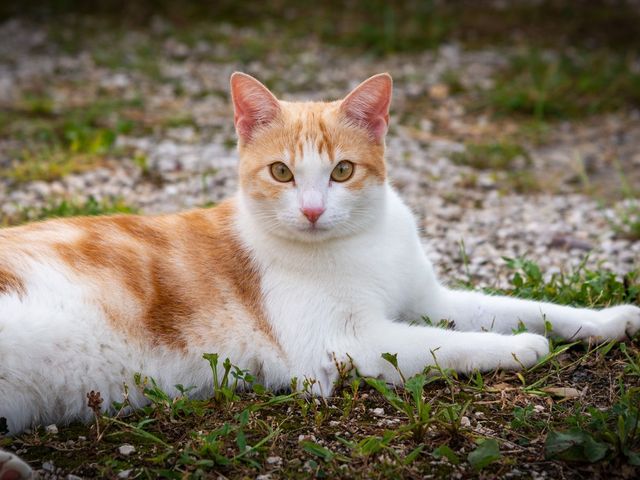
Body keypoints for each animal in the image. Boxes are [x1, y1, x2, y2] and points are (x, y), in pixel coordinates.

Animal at [1, 72, 640, 480]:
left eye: (343, 171)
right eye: (282, 173)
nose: (311, 210)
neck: (358, 245)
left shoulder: (428, 298)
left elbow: (524, 306)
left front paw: (610, 320)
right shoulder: (340, 346)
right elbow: (452, 343)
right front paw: (522, 347)